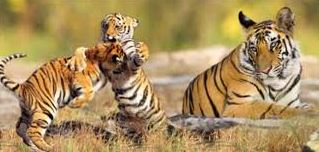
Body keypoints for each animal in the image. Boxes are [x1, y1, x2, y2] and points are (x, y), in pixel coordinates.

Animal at [182, 6, 316, 119]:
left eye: (273, 44)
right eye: (254, 49)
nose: (265, 71)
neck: (278, 81)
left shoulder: (292, 101)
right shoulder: (238, 104)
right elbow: (275, 108)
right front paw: (310, 113)